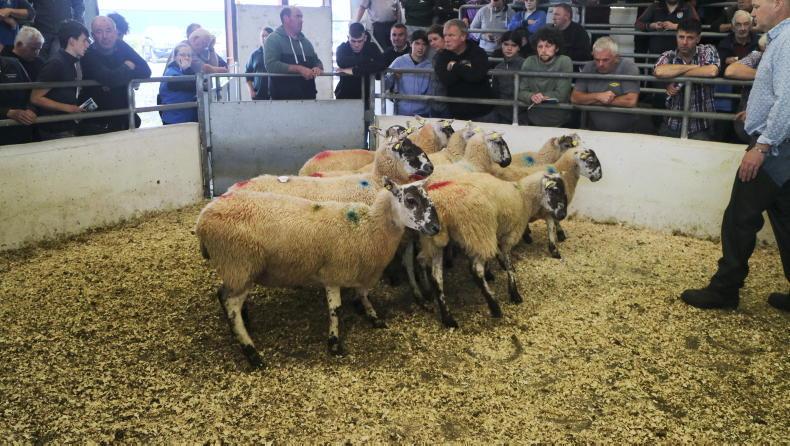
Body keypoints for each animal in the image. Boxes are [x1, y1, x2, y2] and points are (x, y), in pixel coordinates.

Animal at [196, 178, 440, 368]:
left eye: (429, 199)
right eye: (410, 201)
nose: (437, 228)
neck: (368, 227)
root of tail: (202, 219)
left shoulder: (359, 268)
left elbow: (363, 293)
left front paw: (372, 316)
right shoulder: (334, 271)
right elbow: (336, 309)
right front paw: (334, 344)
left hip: (237, 270)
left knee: (225, 296)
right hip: (239, 264)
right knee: (230, 303)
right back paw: (252, 353)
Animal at [418, 172, 568, 328]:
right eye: (556, 190)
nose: (563, 215)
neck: (523, 196)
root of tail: (442, 204)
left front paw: (491, 272)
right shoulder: (509, 235)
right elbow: (509, 265)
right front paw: (514, 293)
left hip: (434, 241)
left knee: (436, 277)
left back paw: (447, 317)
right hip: (479, 231)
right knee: (475, 270)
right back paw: (494, 306)